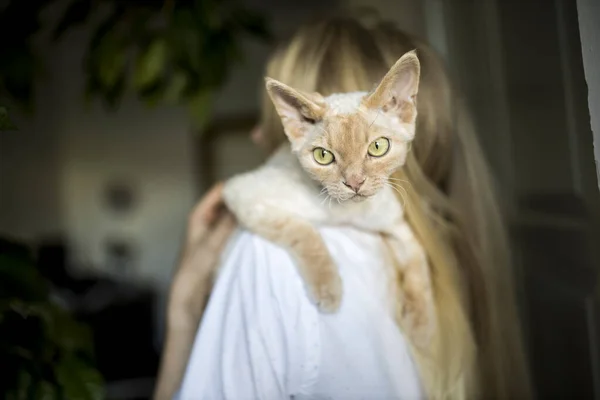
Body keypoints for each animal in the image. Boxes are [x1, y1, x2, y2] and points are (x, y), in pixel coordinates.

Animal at [223, 51, 434, 346]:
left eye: (378, 147)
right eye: (323, 156)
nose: (354, 183)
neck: (346, 213)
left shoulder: (393, 222)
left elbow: (418, 259)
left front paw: (422, 325)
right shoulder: (243, 193)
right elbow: (302, 231)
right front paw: (328, 287)